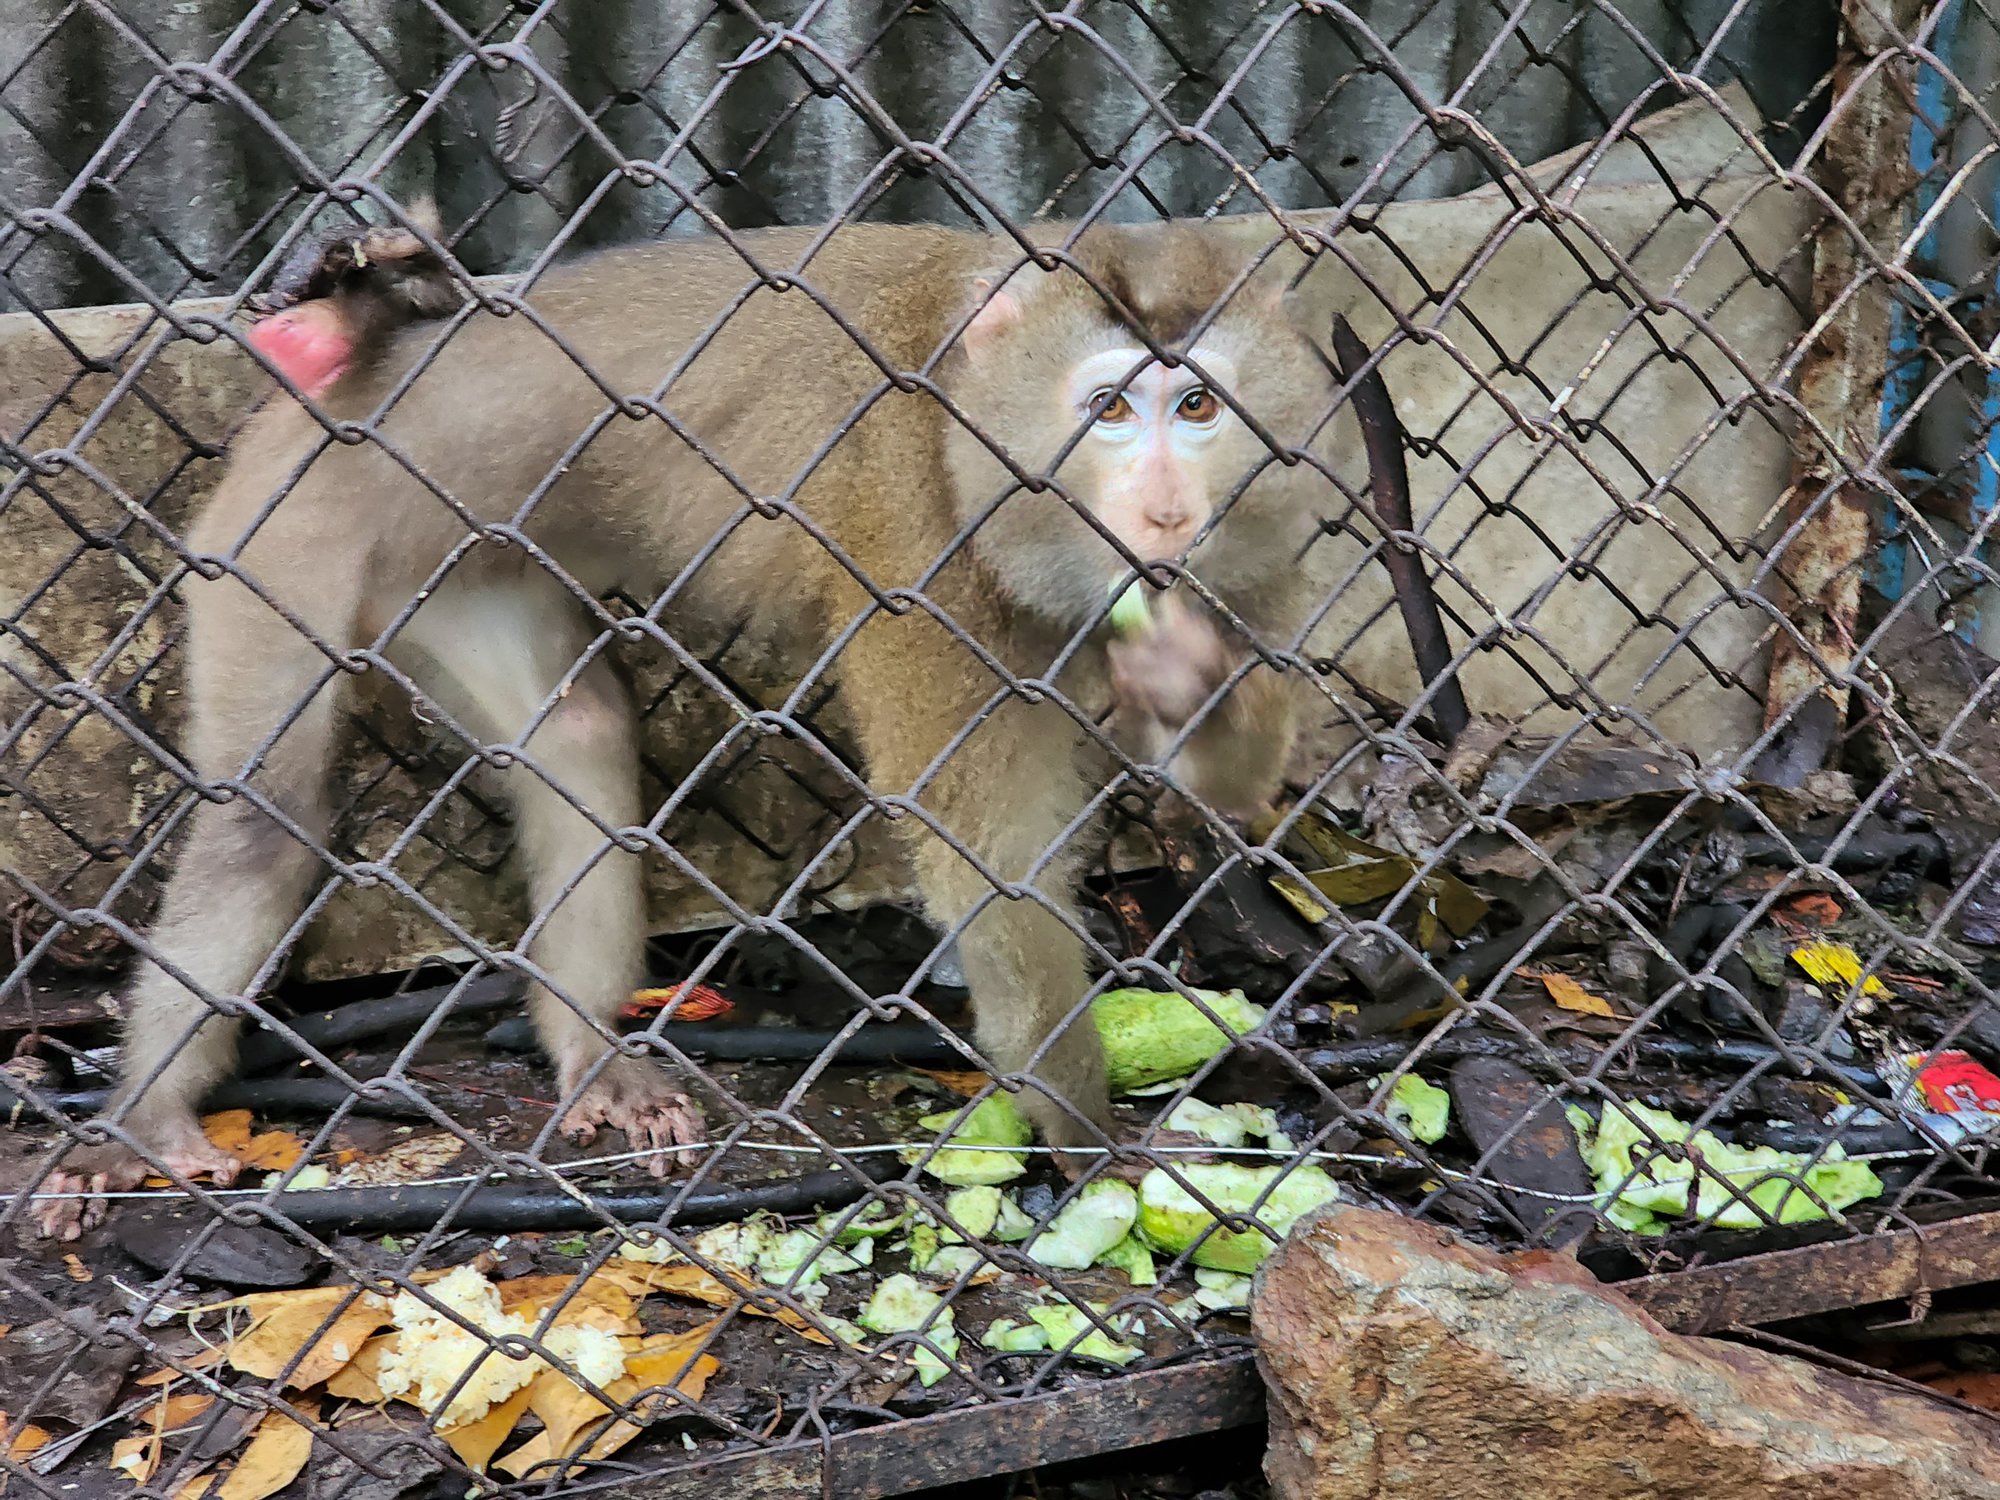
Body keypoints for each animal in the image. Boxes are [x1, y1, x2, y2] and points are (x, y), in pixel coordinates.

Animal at [31, 214, 1336, 1248]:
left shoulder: (1258, 534)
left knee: (572, 740)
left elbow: (1221, 787)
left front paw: (1189, 677)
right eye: (1109, 409)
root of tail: (324, 405)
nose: (1163, 511)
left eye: (1198, 404)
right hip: (279, 538)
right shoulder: (912, 527)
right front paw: (1090, 1135)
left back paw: (587, 1058)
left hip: (462, 565)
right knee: (263, 818)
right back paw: (141, 1121)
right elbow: (989, 861)